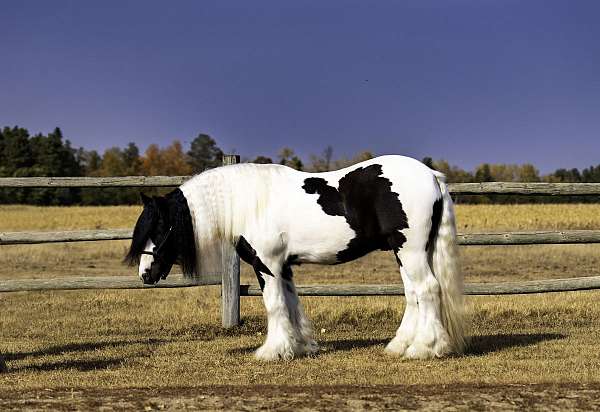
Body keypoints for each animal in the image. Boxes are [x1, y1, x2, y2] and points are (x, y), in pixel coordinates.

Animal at [124, 155, 466, 360]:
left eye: (159, 227)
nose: (145, 274)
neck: (251, 203)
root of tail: (431, 175)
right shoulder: (284, 267)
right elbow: (290, 304)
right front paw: (298, 346)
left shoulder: (267, 265)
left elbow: (274, 306)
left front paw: (271, 351)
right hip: (403, 252)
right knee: (413, 294)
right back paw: (399, 346)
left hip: (410, 251)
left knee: (428, 290)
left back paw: (423, 348)